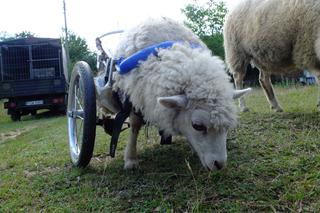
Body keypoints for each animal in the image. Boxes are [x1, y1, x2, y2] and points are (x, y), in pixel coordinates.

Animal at [107, 17, 250, 171]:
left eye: (228, 126)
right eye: (197, 126)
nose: (220, 164)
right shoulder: (135, 96)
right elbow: (135, 125)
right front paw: (131, 159)